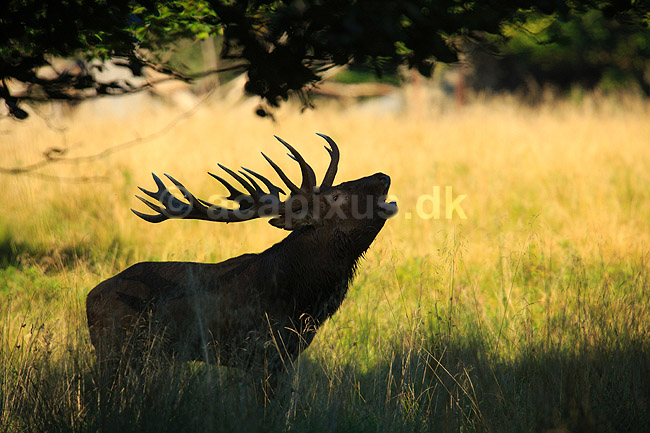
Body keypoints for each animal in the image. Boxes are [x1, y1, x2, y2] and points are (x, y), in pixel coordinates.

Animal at [86, 133, 397, 393]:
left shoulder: (286, 355)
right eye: (336, 195)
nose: (383, 177)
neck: (302, 298)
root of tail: (89, 298)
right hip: (115, 348)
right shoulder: (261, 351)